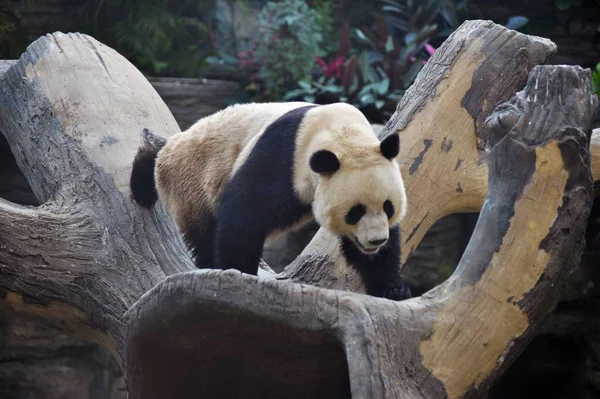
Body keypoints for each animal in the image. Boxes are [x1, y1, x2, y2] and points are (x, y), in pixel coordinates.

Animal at [130, 101, 412, 302]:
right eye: (355, 211)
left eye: (388, 207)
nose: (376, 241)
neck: (342, 135)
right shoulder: (286, 158)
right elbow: (244, 214)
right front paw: (238, 272)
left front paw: (394, 289)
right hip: (193, 180)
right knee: (204, 232)